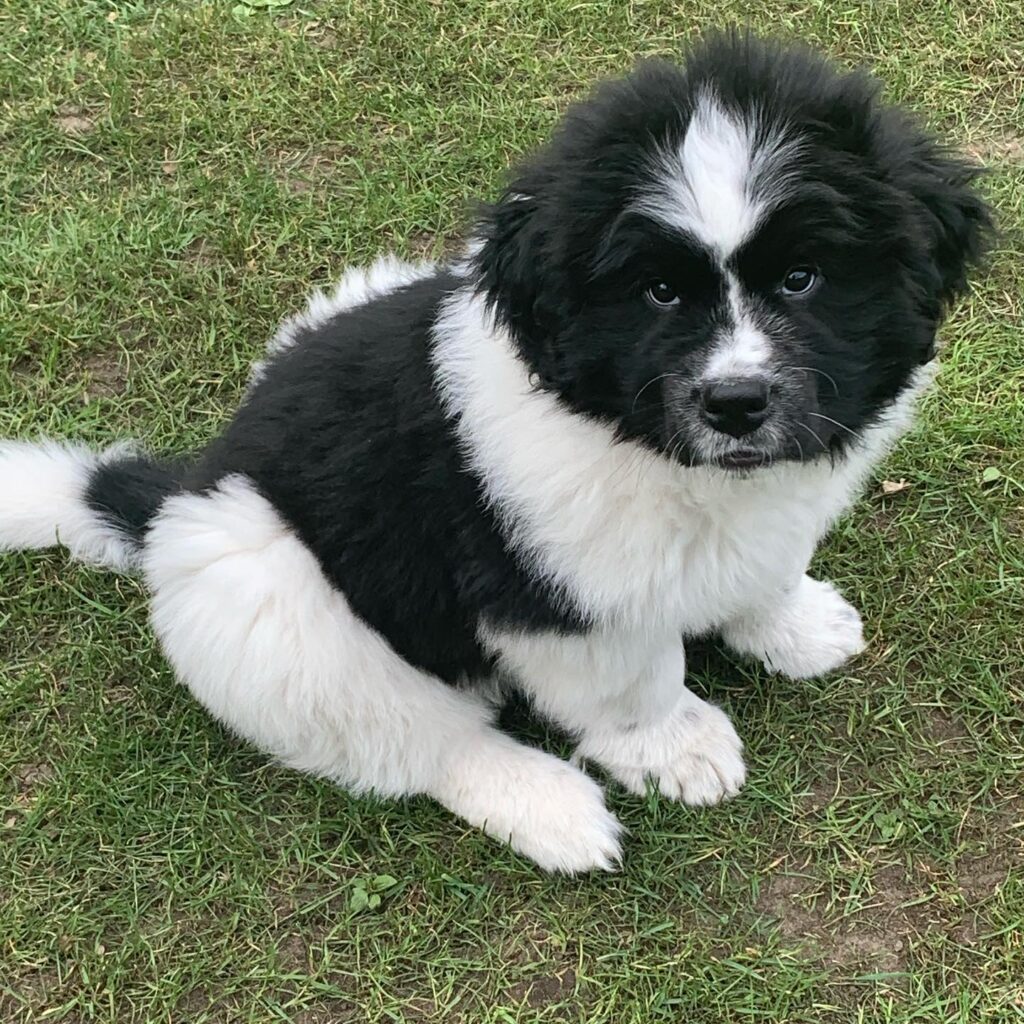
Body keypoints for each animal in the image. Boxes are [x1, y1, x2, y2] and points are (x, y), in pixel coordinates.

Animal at [0, 33, 991, 872]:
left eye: (801, 278)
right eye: (660, 293)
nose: (737, 404)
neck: (647, 442)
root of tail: (194, 484)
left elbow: (761, 567)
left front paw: (791, 626)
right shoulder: (552, 591)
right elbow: (634, 677)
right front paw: (677, 748)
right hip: (271, 600)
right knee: (419, 739)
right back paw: (550, 808)